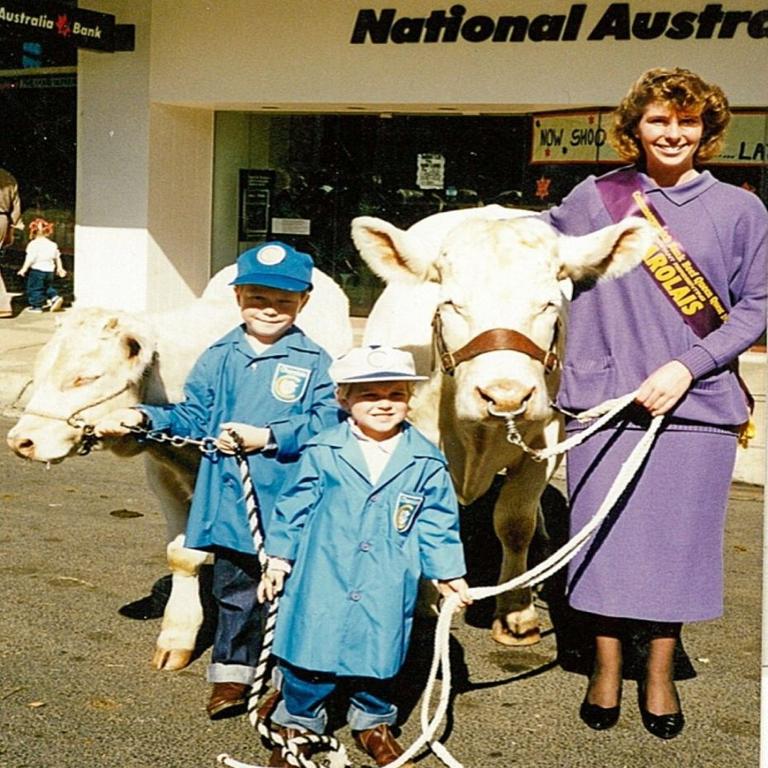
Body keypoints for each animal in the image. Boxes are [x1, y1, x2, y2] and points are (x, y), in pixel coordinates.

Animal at [6, 266, 352, 672]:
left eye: (85, 377)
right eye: (39, 368)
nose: (20, 441)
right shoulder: (162, 477)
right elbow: (180, 554)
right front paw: (178, 634)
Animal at [354, 207, 656, 644]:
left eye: (549, 304)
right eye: (450, 303)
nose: (506, 395)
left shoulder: (544, 441)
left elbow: (515, 522)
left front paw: (517, 612)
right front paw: (426, 602)